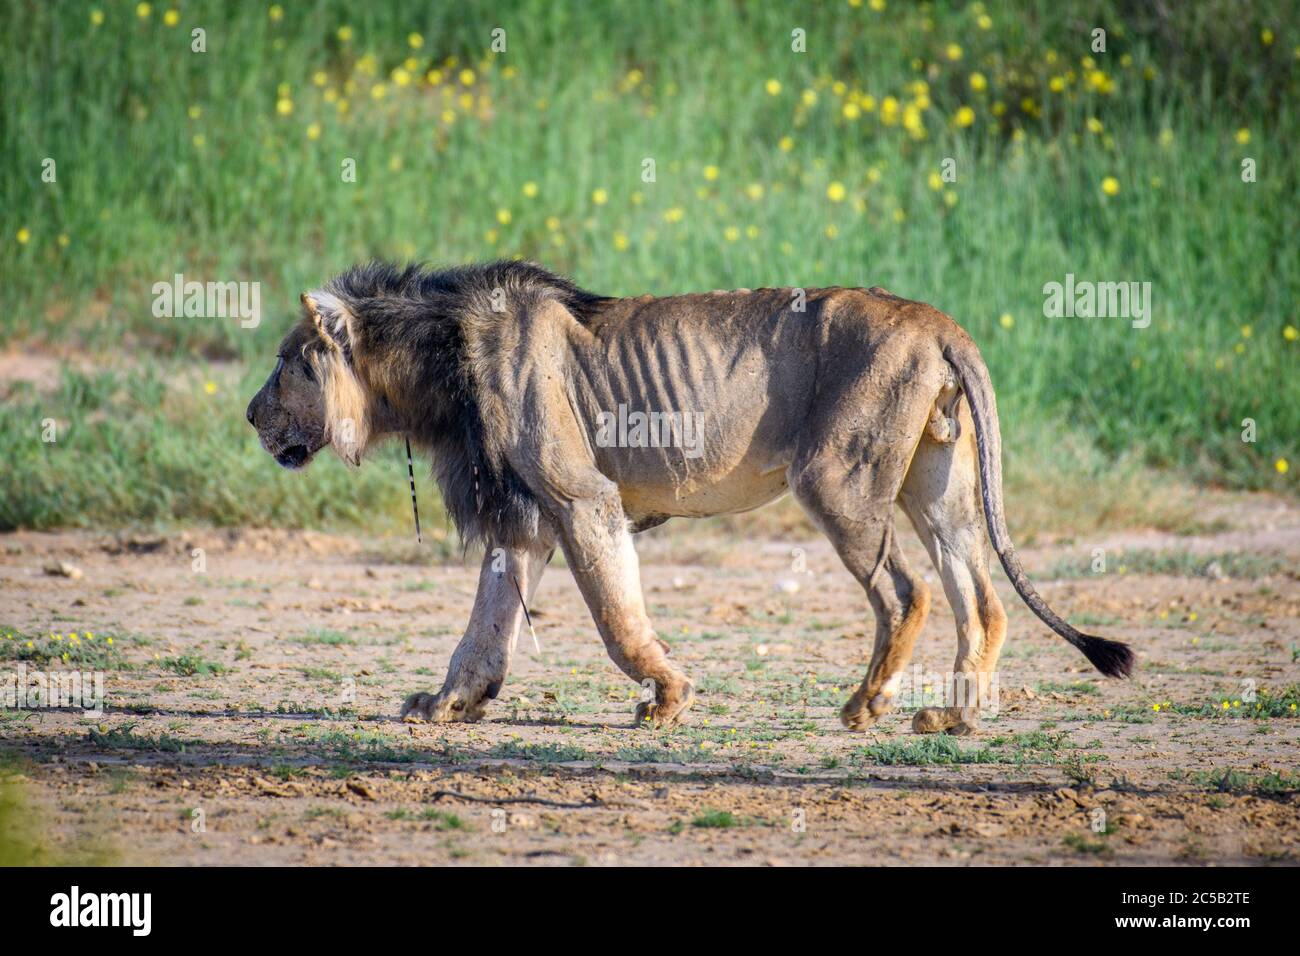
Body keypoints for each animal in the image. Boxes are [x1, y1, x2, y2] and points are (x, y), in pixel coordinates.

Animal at [248, 260, 1133, 733]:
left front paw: (666, 700)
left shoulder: (580, 497)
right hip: (937, 489)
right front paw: (446, 704)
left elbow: (615, 616)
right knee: (982, 600)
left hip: (838, 483)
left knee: (906, 593)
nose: (251, 414)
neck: (433, 366)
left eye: (290, 363)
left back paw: (862, 705)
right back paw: (953, 718)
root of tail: (939, 321)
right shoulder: (524, 520)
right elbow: (484, 626)